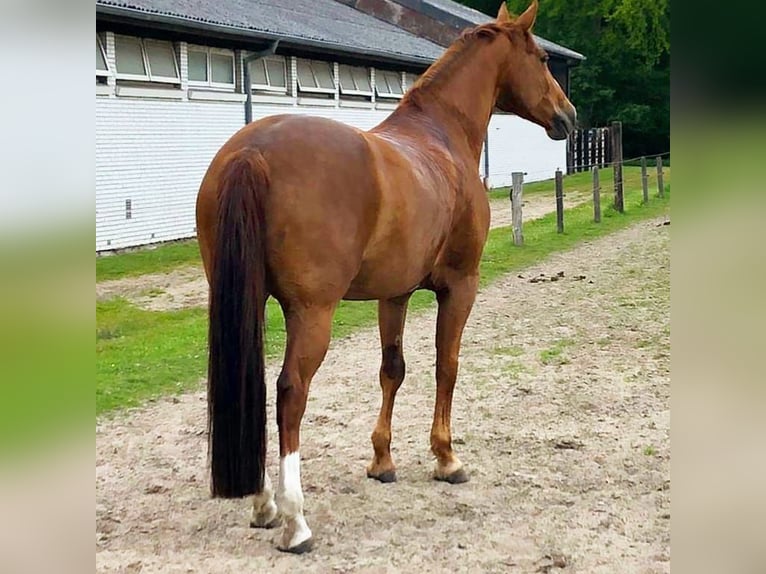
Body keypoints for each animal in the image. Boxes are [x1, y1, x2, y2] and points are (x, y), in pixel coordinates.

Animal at [198, 2, 576, 556]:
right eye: (543, 59)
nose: (568, 116)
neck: (440, 137)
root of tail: (253, 150)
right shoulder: (460, 287)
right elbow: (447, 365)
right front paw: (446, 458)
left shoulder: (393, 294)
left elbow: (391, 369)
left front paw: (382, 461)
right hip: (312, 313)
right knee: (291, 393)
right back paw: (295, 521)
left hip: (246, 303)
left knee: (258, 389)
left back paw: (264, 505)